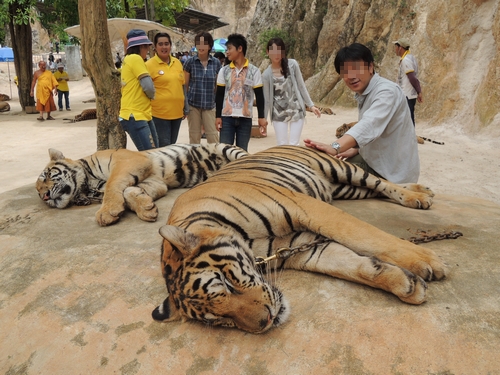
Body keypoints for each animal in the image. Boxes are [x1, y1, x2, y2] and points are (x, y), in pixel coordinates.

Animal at [35, 143, 248, 226]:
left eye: (46, 176)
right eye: (38, 193)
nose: (44, 196)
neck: (89, 185)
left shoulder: (128, 161)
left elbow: (113, 186)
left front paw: (106, 212)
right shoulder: (156, 181)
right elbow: (129, 190)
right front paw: (146, 208)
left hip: (227, 148)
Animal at [154, 145, 448, 334]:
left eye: (226, 283)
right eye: (218, 319)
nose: (266, 322)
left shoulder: (306, 208)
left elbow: (364, 234)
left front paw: (427, 261)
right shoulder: (301, 248)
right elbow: (354, 266)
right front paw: (407, 285)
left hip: (341, 168)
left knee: (381, 182)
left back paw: (417, 196)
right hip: (345, 188)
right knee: (376, 189)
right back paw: (422, 191)